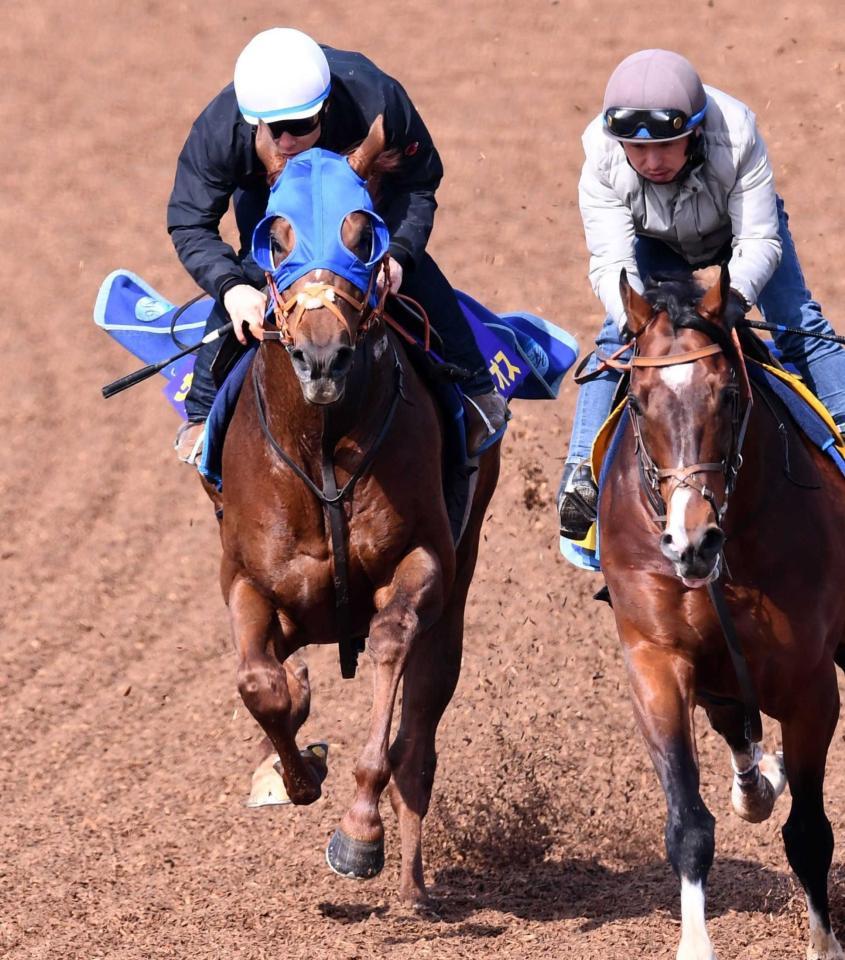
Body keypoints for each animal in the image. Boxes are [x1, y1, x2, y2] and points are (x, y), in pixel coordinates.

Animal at [216, 116, 502, 904]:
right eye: (276, 236)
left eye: (362, 233)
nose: (323, 357)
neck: (320, 447)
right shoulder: (246, 579)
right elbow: (259, 684)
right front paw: (295, 769)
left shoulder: (423, 558)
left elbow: (390, 647)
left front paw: (358, 832)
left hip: (460, 580)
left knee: (421, 730)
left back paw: (411, 883)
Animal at [596, 266, 844, 960]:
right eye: (638, 400)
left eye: (729, 396)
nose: (692, 541)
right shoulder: (655, 661)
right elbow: (688, 825)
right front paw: (695, 944)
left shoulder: (812, 683)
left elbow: (809, 832)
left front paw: (824, 943)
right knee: (734, 725)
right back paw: (754, 786)